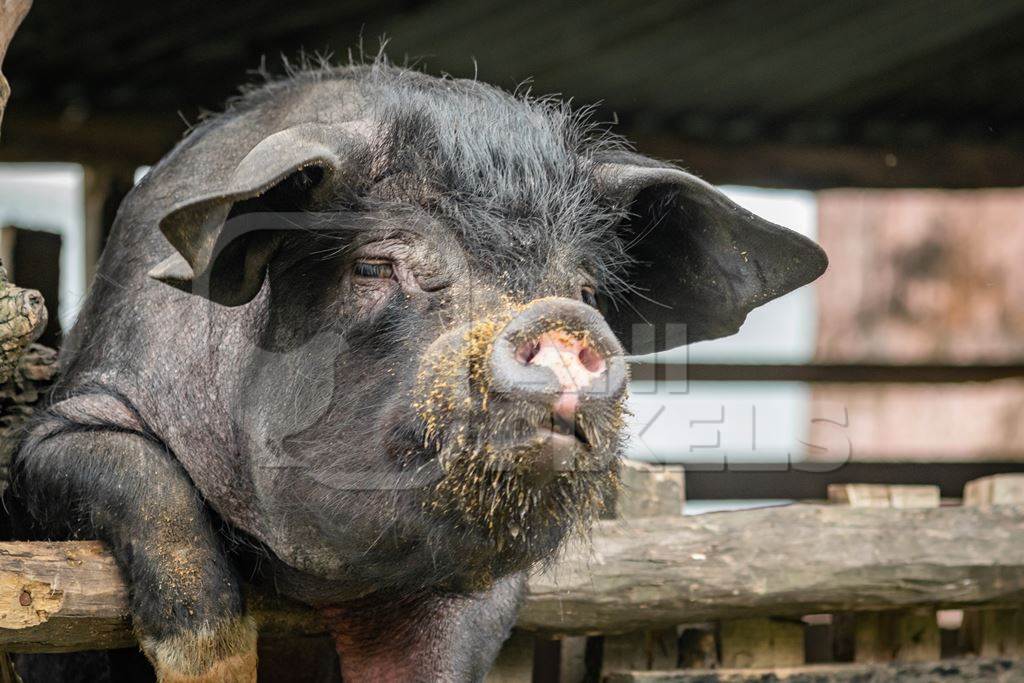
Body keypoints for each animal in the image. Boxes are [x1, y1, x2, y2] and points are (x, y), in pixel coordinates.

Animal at [12, 61, 827, 679]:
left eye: (588, 289)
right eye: (377, 264)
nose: (560, 324)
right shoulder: (48, 435)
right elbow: (137, 479)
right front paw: (214, 664)